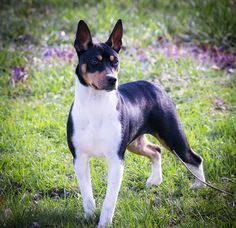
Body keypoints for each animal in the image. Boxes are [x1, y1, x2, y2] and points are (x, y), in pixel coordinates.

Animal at [66, 20, 205, 228]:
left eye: (115, 61)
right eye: (95, 62)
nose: (112, 79)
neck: (95, 104)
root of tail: (155, 86)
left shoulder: (116, 159)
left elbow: (110, 199)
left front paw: (104, 223)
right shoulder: (80, 158)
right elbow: (87, 193)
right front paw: (89, 215)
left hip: (172, 137)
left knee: (194, 158)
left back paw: (199, 186)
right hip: (135, 143)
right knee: (156, 150)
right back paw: (155, 180)